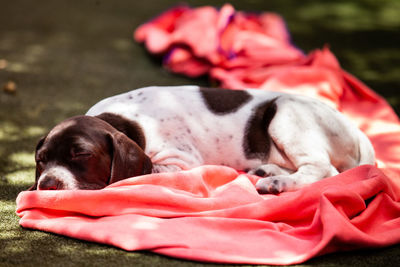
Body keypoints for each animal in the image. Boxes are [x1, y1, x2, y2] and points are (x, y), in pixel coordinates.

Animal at [30, 87, 376, 194]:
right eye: (40, 161)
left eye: (81, 154)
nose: (47, 184)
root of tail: (356, 129)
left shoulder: (180, 160)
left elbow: (152, 169)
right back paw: (267, 171)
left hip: (285, 111)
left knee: (323, 169)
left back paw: (277, 183)